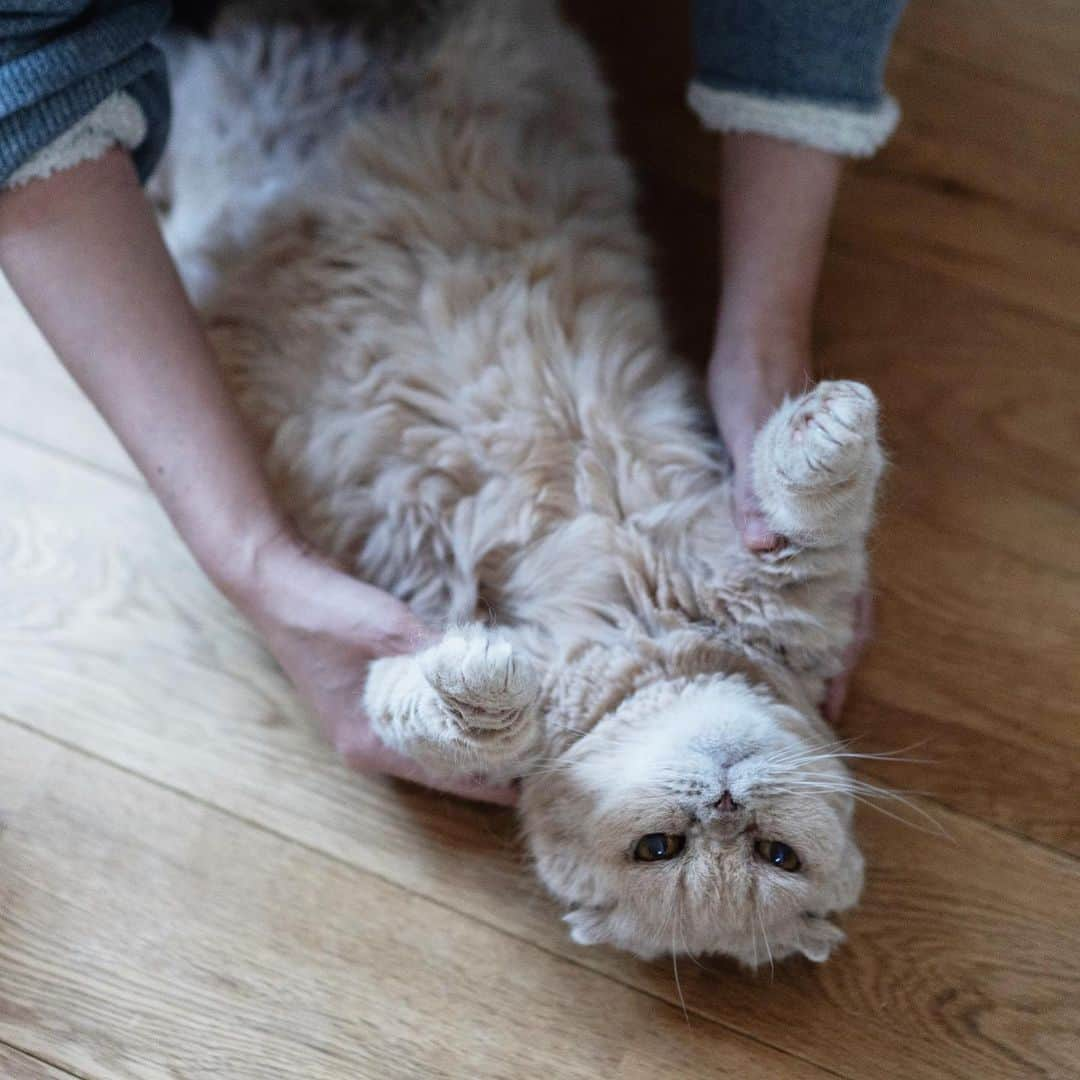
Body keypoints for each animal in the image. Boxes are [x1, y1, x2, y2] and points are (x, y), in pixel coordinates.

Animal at [159, 0, 885, 963]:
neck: (646, 622)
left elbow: (807, 510)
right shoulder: (765, 568)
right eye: (662, 847)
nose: (723, 806)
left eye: (774, 855)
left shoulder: (773, 579)